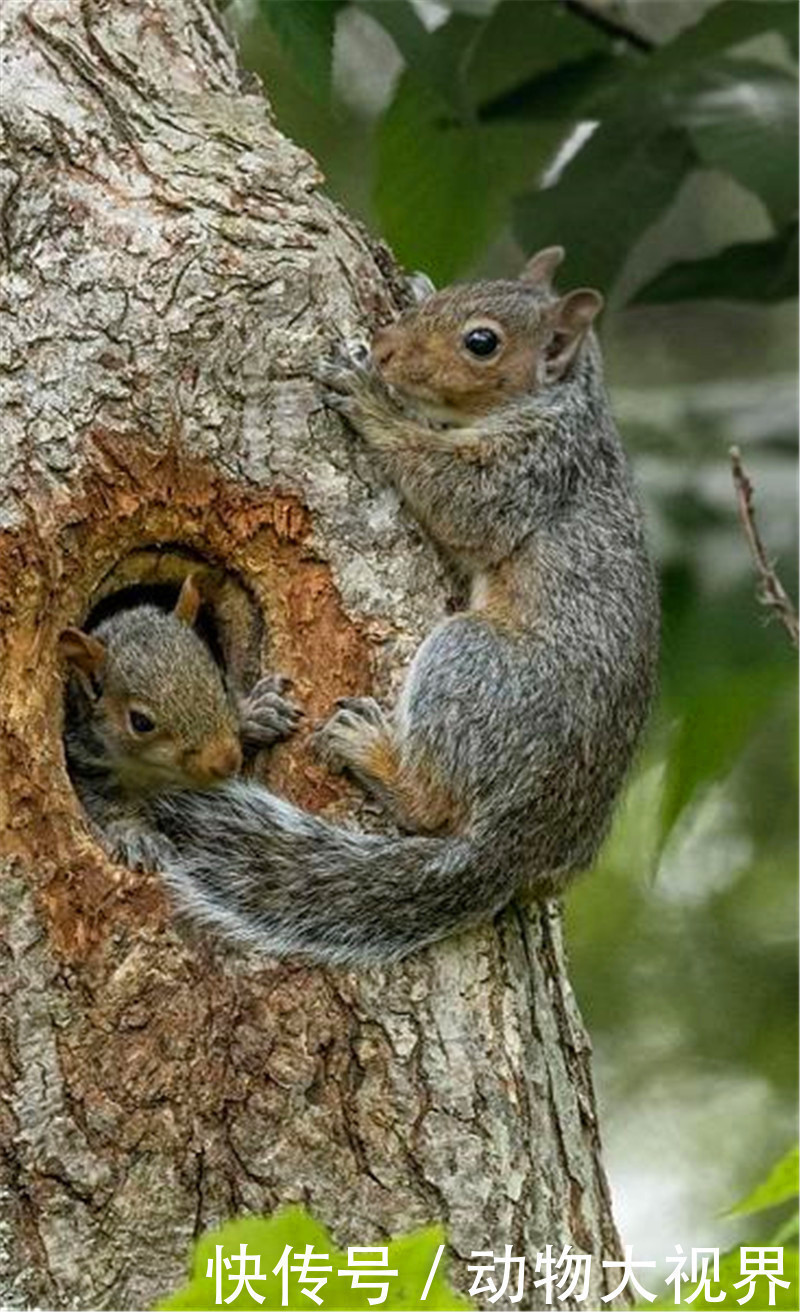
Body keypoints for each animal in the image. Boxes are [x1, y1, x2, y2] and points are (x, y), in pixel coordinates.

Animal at [138, 247, 653, 965]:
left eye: (482, 343)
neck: (565, 403)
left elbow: (454, 495)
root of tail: (517, 846)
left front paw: (370, 400)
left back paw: (368, 747)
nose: (382, 350)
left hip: (478, 663)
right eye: (451, 293)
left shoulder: (526, 472)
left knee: (430, 807)